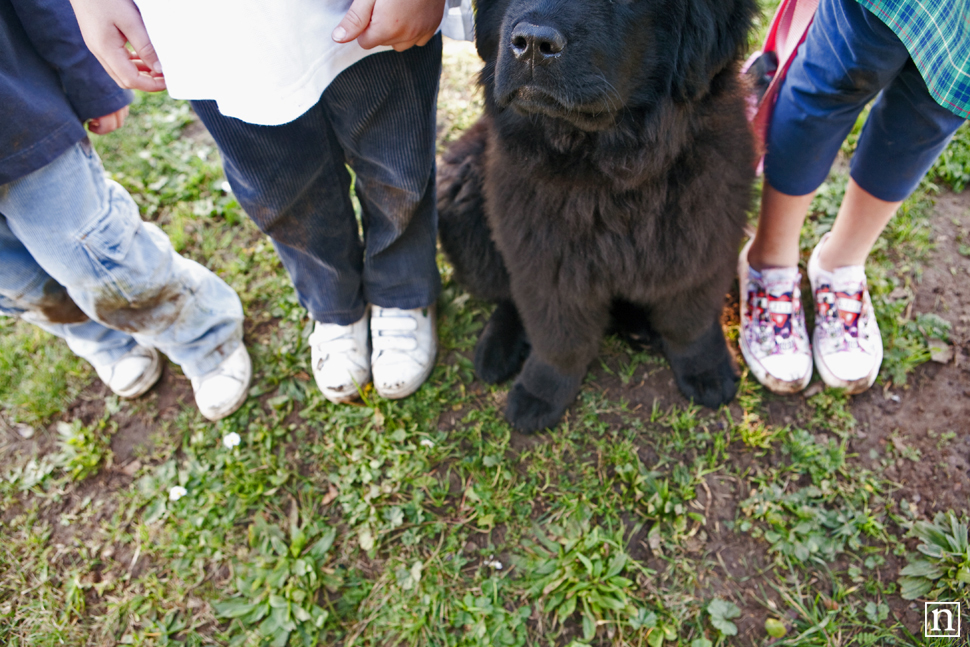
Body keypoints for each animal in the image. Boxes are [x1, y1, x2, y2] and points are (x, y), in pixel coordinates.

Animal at [436, 1, 756, 436]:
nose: (532, 43)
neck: (611, 171)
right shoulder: (542, 254)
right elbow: (557, 335)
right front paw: (539, 392)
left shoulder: (702, 239)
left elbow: (689, 319)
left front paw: (706, 370)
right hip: (460, 197)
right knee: (507, 294)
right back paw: (496, 351)